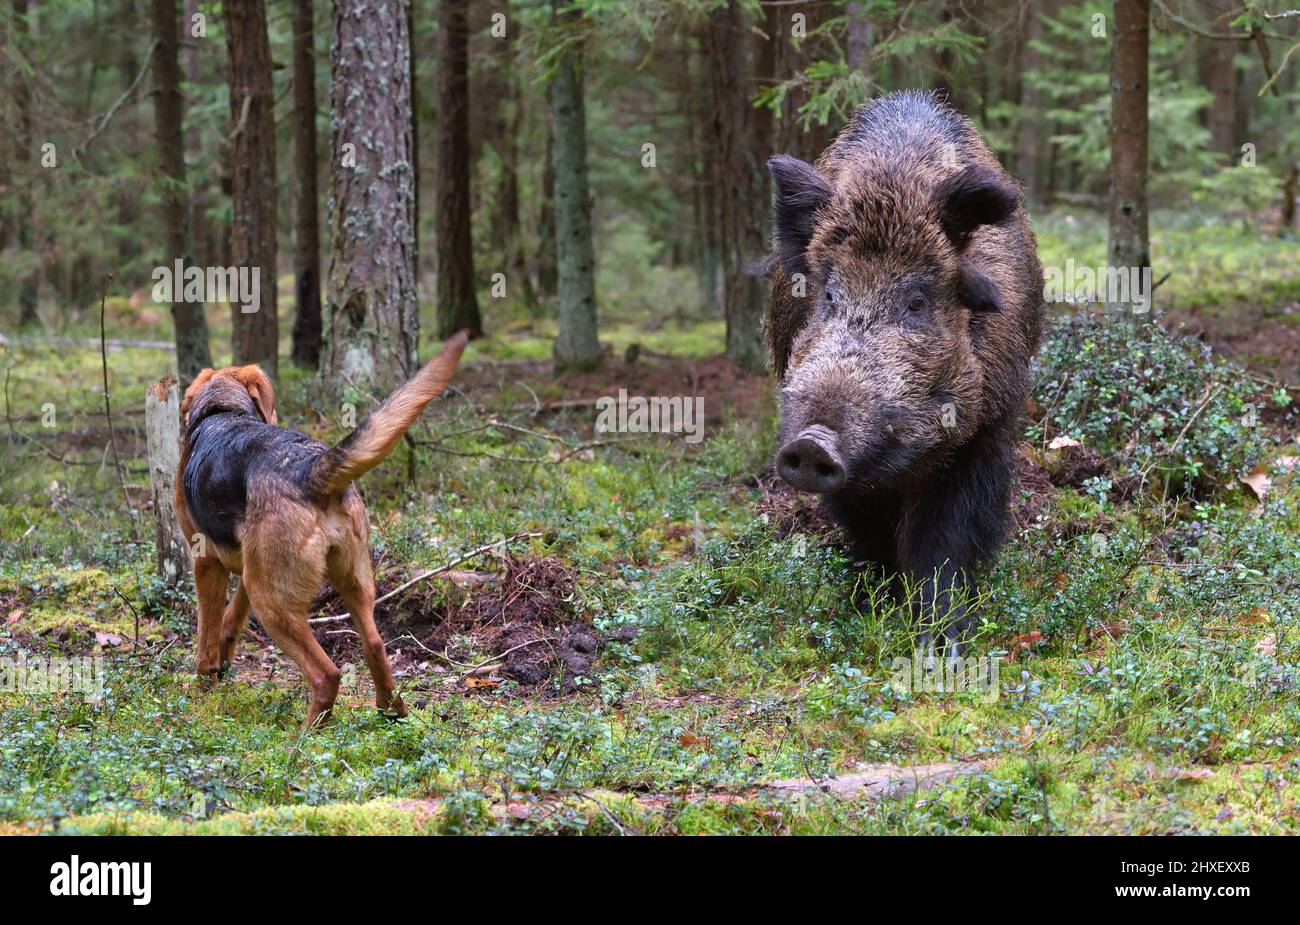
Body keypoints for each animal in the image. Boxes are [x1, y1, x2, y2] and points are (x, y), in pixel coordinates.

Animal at [178, 332, 467, 727]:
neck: (223, 411)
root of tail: (310, 468)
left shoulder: (207, 563)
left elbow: (206, 633)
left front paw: (203, 689)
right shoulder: (248, 568)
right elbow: (230, 620)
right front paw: (223, 660)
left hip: (273, 603)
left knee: (326, 673)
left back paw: (306, 735)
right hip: (348, 581)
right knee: (374, 646)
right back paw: (391, 713)